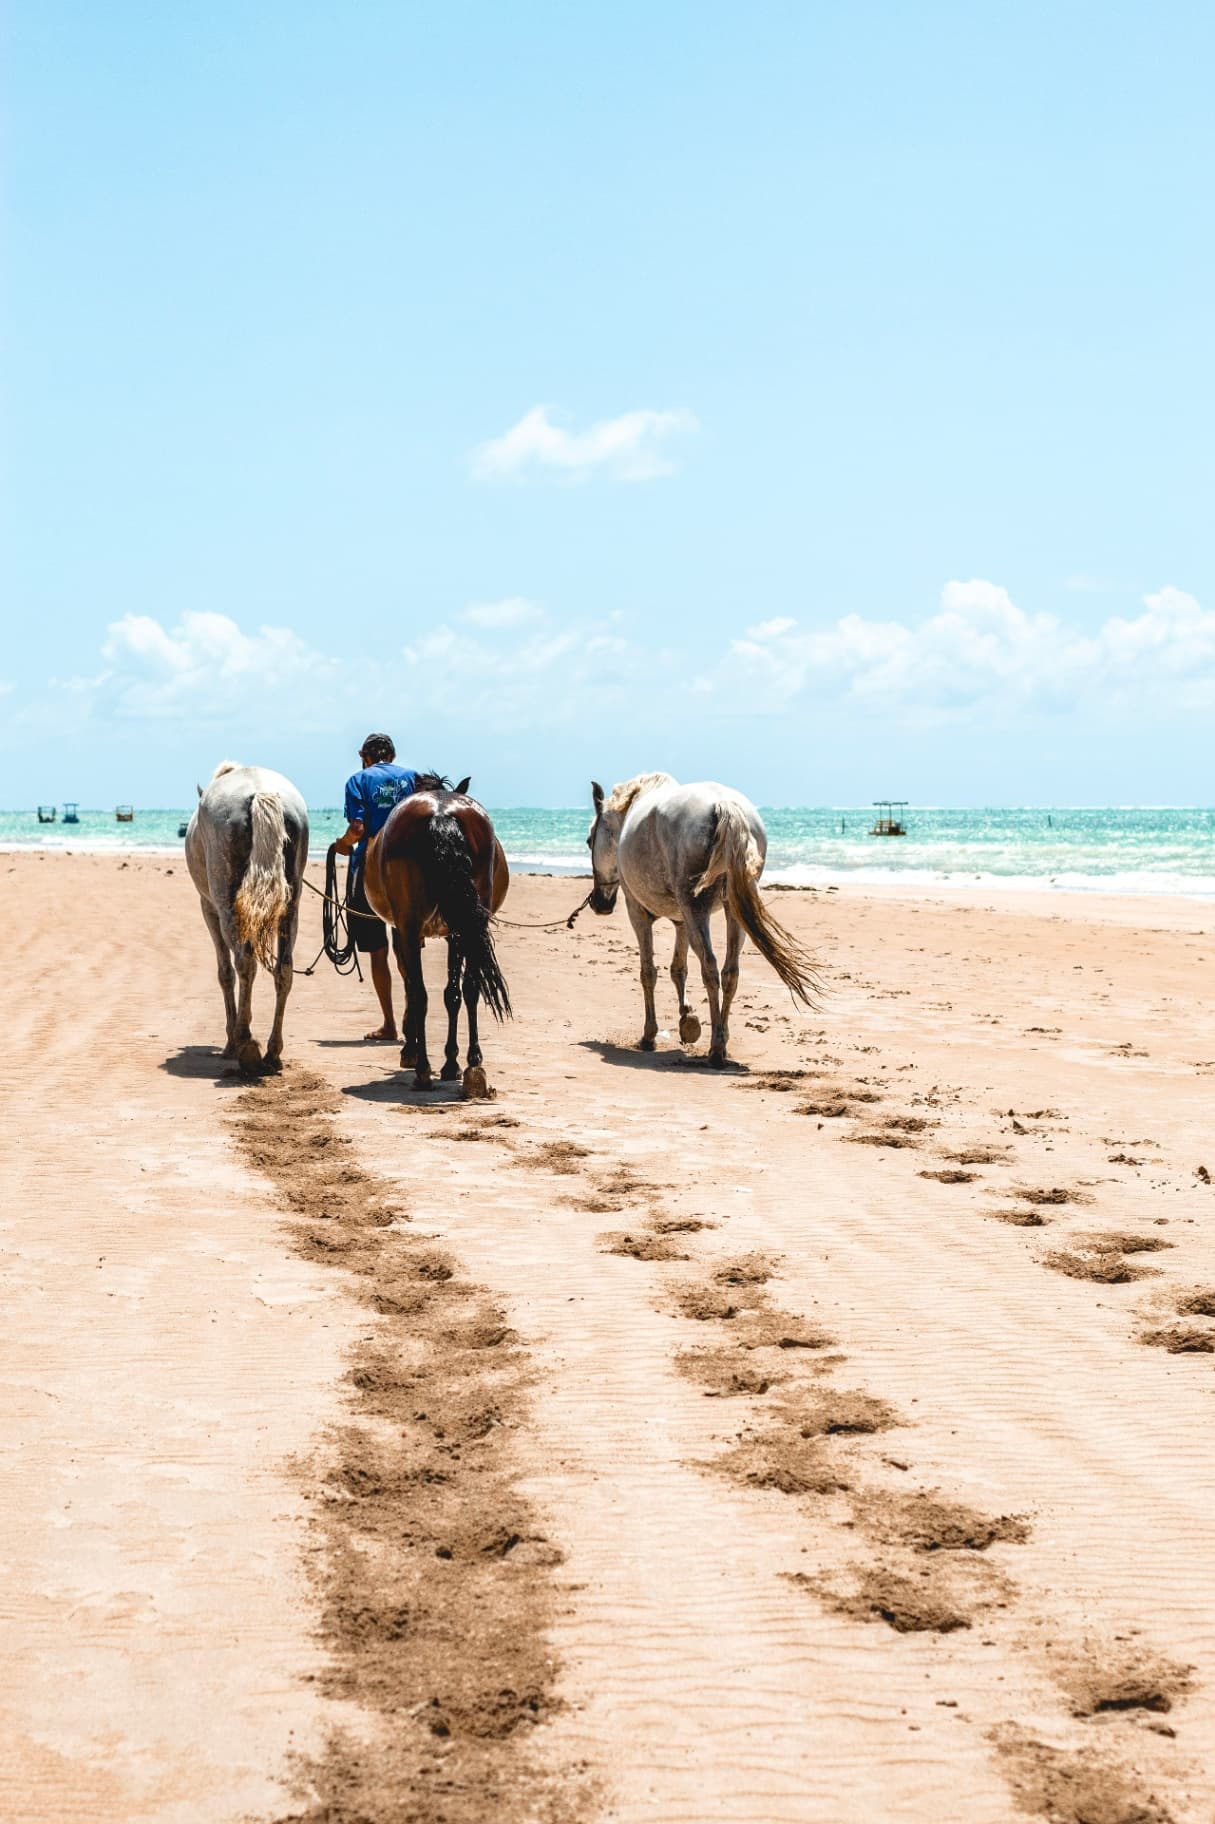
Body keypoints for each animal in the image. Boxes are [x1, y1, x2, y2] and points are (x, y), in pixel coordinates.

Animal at [185, 761, 309, 1073]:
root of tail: (260, 791)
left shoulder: (209, 909)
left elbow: (225, 973)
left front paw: (232, 1038)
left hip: (226, 906)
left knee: (244, 963)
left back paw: (243, 1042)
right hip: (290, 909)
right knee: (284, 970)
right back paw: (273, 1051)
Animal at [362, 779, 510, 1092]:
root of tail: (441, 814)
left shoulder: (402, 931)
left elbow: (413, 987)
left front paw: (412, 1050)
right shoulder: (454, 932)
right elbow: (453, 993)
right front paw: (451, 1063)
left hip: (410, 925)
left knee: (419, 992)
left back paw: (422, 1068)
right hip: (470, 924)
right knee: (469, 988)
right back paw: (473, 1066)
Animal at [586, 772, 818, 1065]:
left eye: (589, 840)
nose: (599, 903)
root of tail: (723, 804)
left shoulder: (638, 912)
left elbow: (648, 972)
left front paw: (650, 1035)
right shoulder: (682, 920)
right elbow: (678, 969)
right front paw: (688, 1020)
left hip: (695, 909)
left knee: (709, 966)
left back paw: (716, 1048)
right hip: (732, 912)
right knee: (730, 972)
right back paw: (721, 1040)